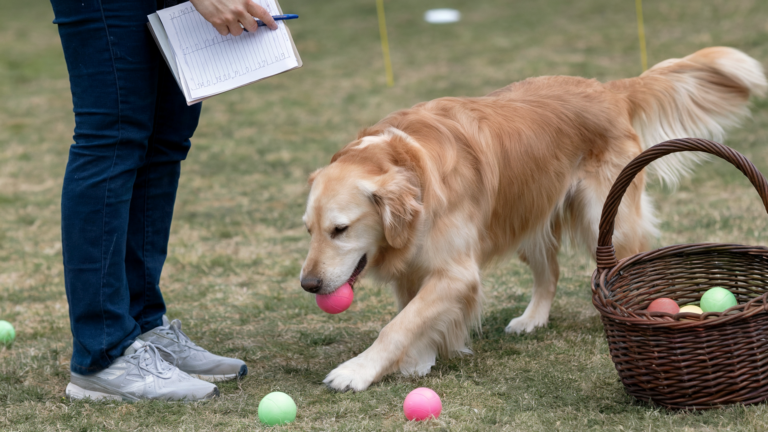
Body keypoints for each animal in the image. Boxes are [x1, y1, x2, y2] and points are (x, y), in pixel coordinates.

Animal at [304, 47, 764, 392]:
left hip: (605, 216)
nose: (308, 285)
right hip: (529, 217)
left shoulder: (457, 271)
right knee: (551, 272)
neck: (410, 164)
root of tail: (608, 89)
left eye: (340, 230)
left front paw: (357, 371)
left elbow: (399, 324)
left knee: (626, 264)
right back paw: (532, 319)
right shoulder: (414, 263)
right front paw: (419, 359)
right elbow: (412, 314)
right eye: (308, 230)